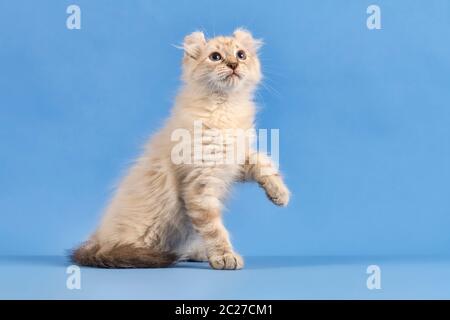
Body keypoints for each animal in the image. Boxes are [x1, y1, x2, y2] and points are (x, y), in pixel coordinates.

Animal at [72, 29, 290, 270]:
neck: (225, 108)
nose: (233, 64)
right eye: (215, 57)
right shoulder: (201, 184)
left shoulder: (234, 160)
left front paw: (279, 193)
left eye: (241, 55)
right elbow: (214, 230)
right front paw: (225, 256)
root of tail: (96, 241)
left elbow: (263, 162)